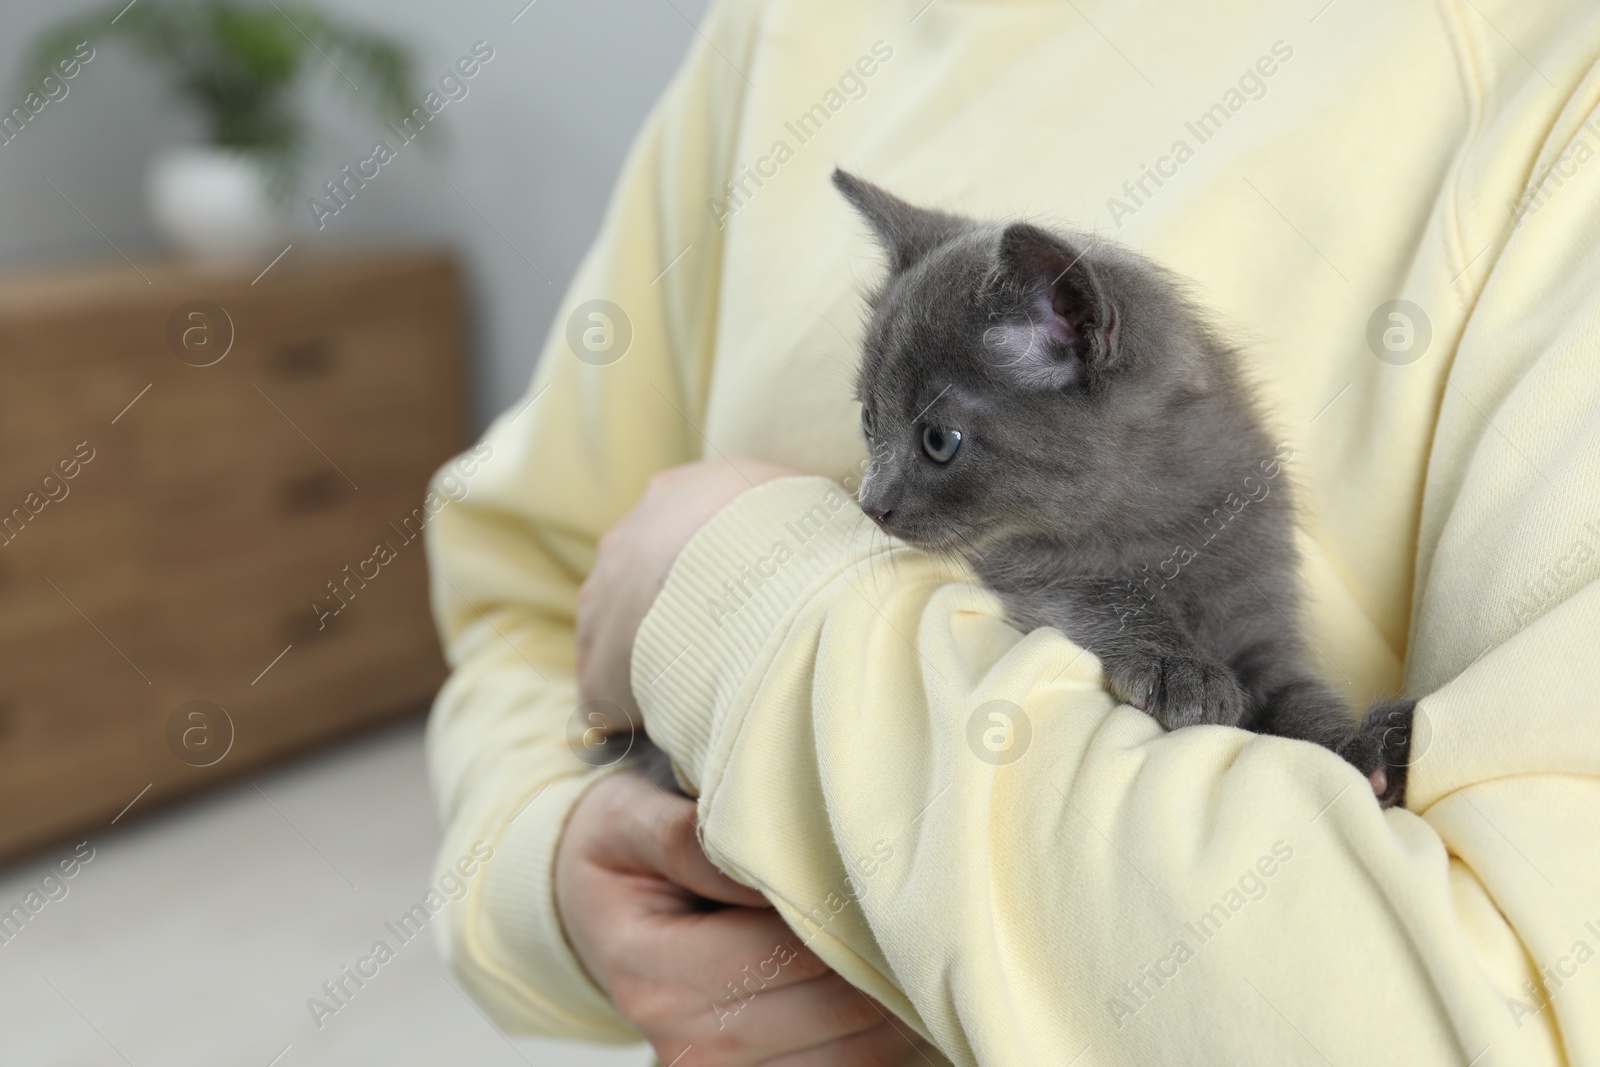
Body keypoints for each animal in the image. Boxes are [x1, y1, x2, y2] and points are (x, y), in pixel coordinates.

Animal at [838, 173, 1414, 809]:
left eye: (939, 440)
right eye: (869, 421)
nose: (871, 503)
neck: (1163, 520)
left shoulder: (1263, 617)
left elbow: (1299, 693)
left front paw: (1353, 748)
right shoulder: (1032, 573)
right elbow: (1104, 590)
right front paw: (1182, 668)